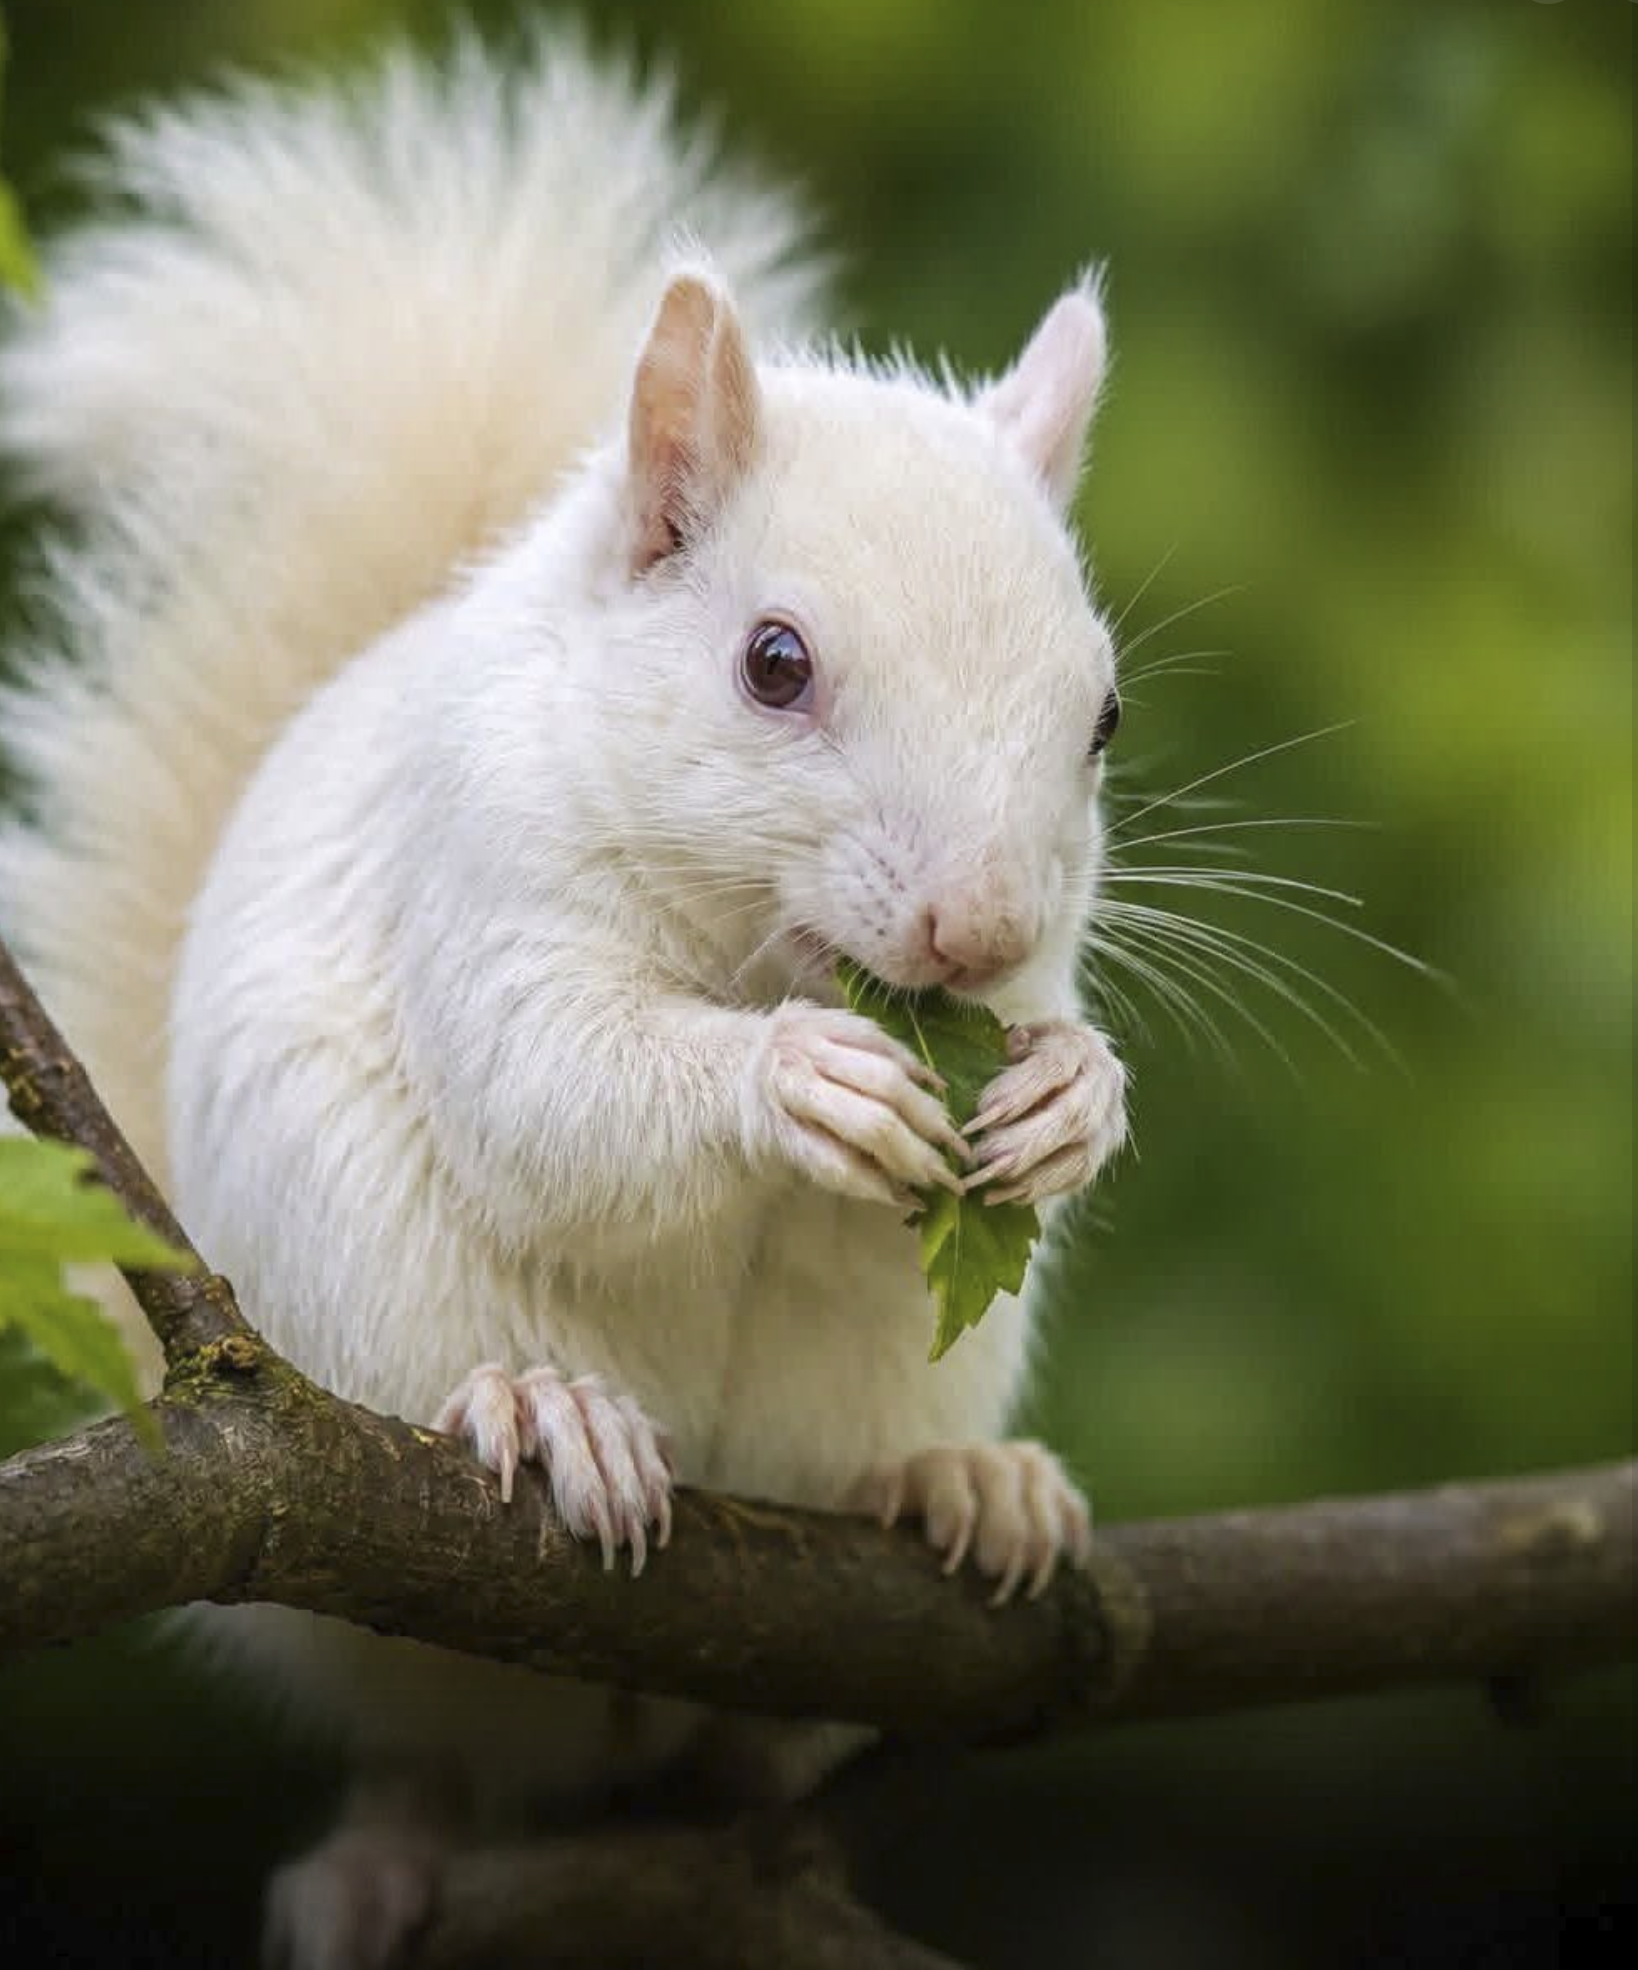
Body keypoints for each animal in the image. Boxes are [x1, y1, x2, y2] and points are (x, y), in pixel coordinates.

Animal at [0, 29, 1129, 1968]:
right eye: (773, 664)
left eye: (1103, 716)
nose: (973, 935)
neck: (752, 945)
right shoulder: (479, 878)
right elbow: (552, 1096)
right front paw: (798, 1086)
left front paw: (1069, 1094)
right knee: (422, 1756)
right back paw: (522, 1476)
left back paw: (952, 1487)